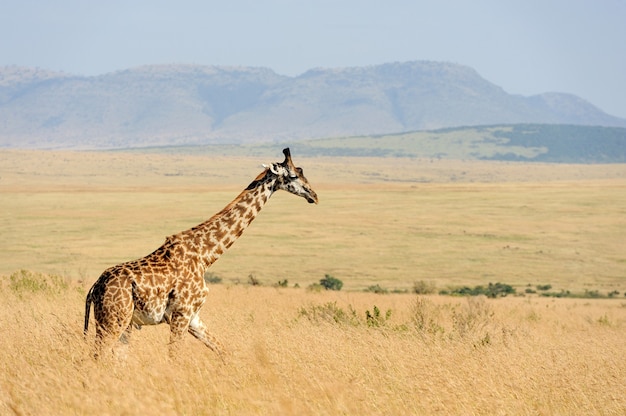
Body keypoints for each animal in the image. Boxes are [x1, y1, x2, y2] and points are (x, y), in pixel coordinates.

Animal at [84, 148, 316, 360]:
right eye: (294, 175)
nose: (313, 195)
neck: (206, 256)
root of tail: (94, 288)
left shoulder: (194, 316)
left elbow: (223, 351)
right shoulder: (181, 313)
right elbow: (175, 357)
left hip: (126, 323)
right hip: (113, 319)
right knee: (96, 357)